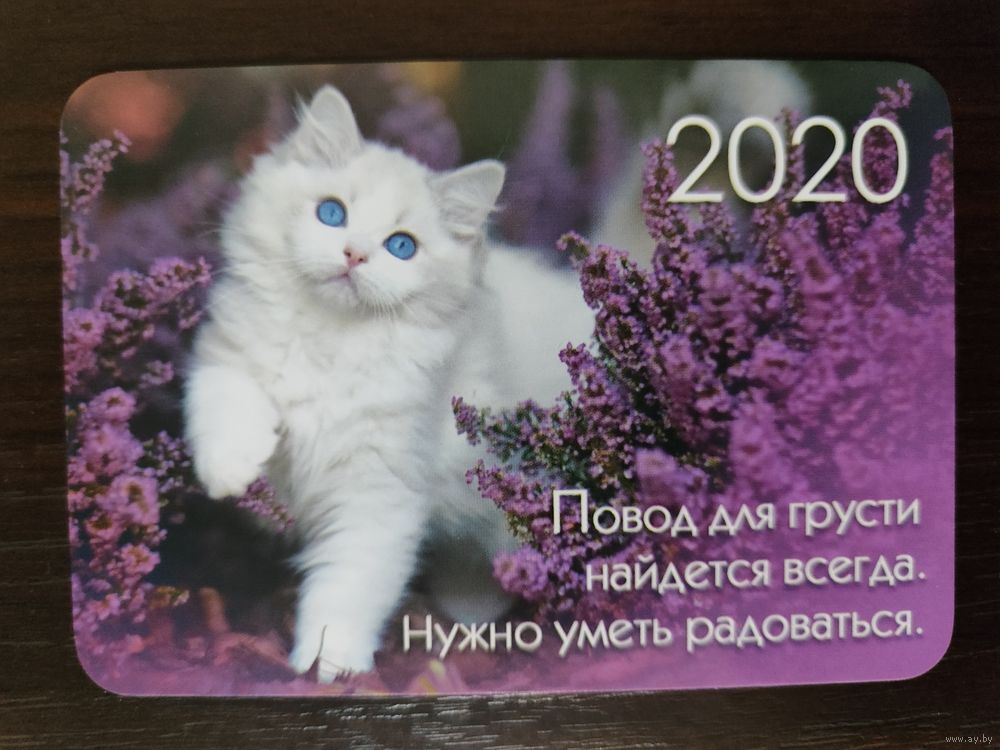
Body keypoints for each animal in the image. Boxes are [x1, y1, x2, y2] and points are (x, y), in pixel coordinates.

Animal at [184, 85, 592, 681]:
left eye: (401, 246)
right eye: (332, 213)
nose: (354, 254)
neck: (331, 339)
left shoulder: (379, 489)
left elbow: (349, 583)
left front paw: (329, 662)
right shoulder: (226, 356)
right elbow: (225, 401)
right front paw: (231, 471)